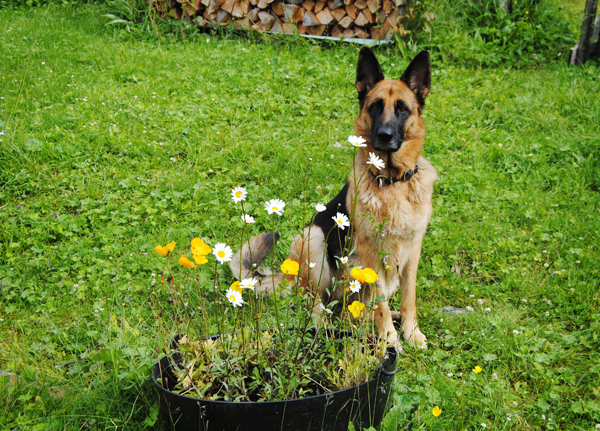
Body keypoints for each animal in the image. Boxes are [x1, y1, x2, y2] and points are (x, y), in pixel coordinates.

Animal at [231, 47, 436, 352]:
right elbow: (380, 305)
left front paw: (411, 333)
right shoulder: (372, 255)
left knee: (353, 310)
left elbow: (409, 299)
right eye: (375, 106)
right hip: (312, 238)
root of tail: (288, 276)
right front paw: (390, 340)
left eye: (402, 108)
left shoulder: (412, 252)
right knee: (318, 306)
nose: (384, 136)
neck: (392, 183)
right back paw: (326, 329)